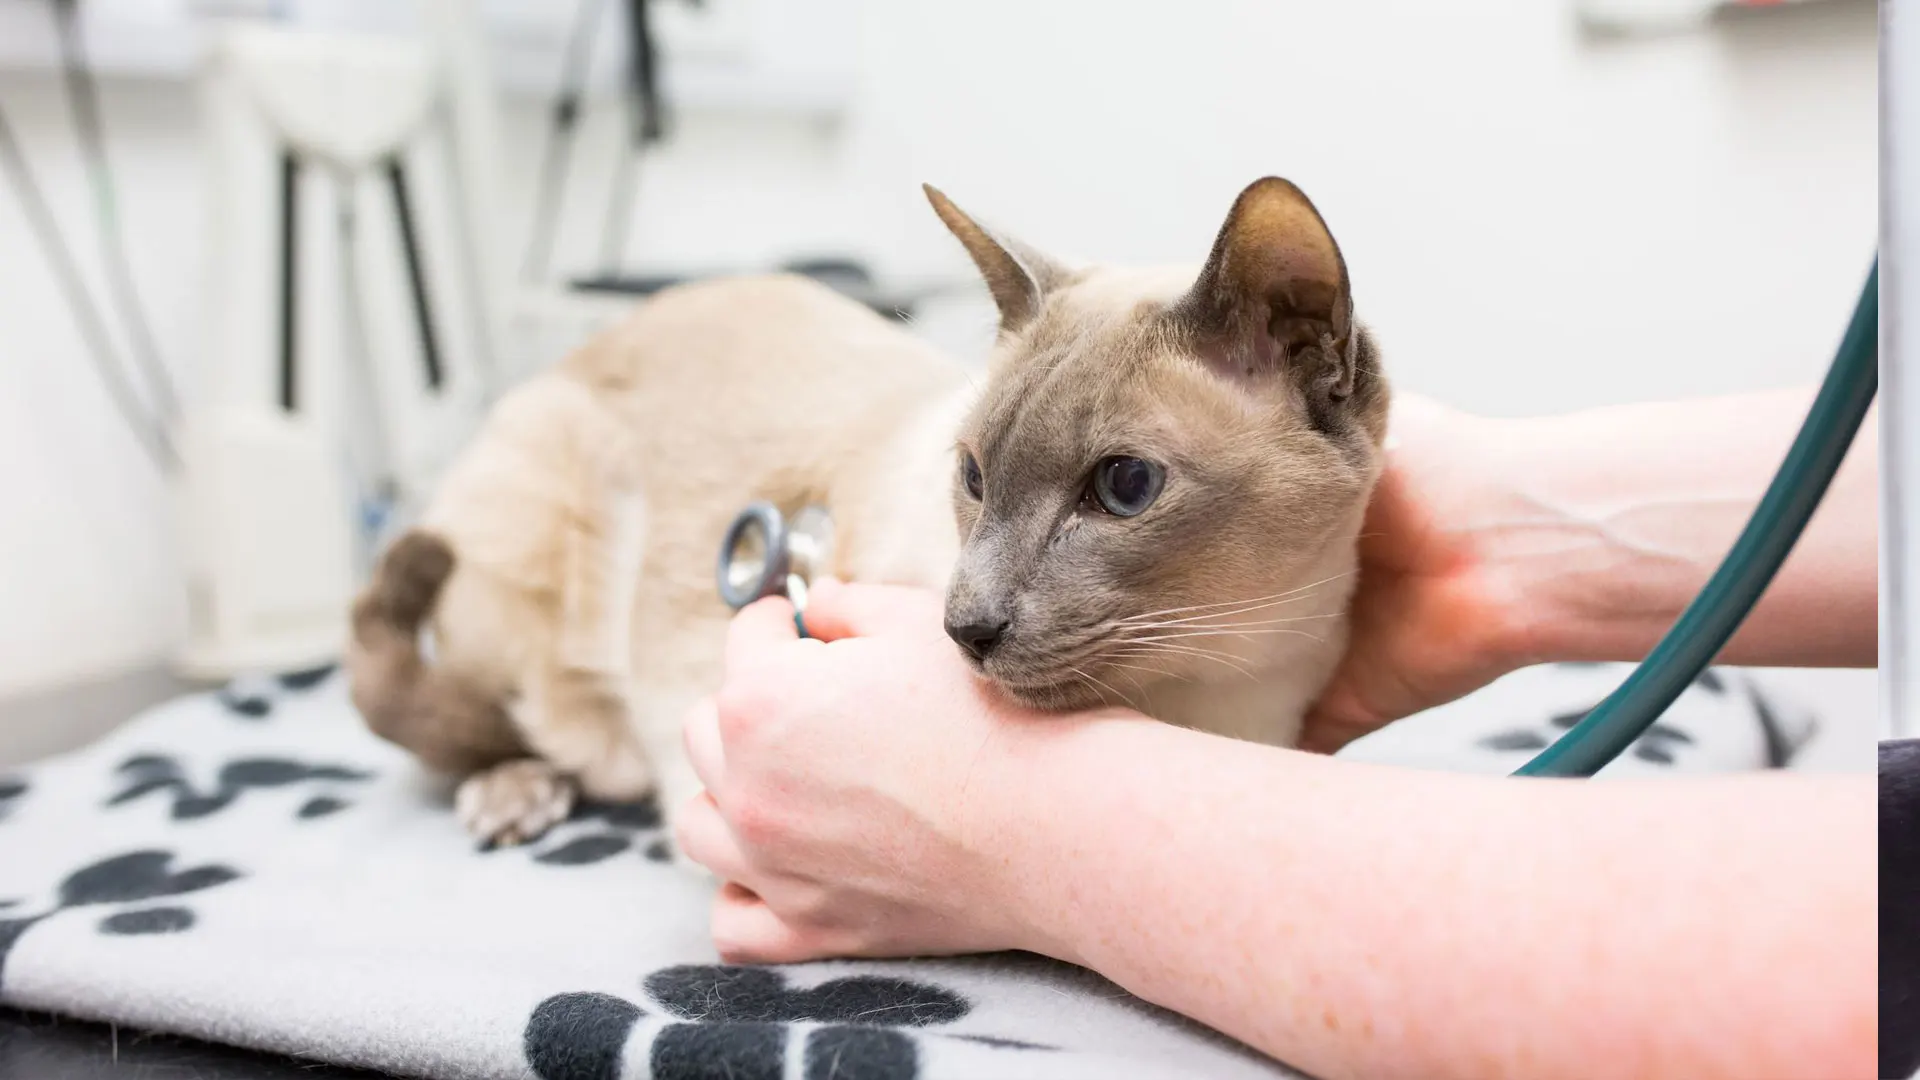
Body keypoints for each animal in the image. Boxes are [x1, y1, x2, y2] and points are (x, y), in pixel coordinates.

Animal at [349, 176, 1382, 849]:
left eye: (1123, 486)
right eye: (973, 475)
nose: (967, 628)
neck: (1209, 707)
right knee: (485, 718)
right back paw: (513, 798)